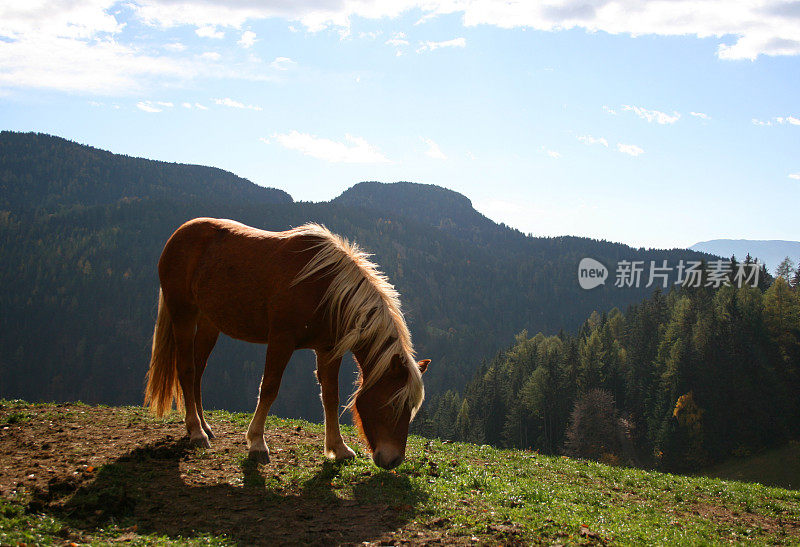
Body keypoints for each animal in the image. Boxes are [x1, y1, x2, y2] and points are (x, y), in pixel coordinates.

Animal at [144, 218, 432, 470]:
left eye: (411, 408)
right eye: (394, 405)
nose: (394, 461)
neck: (325, 288)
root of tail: (180, 233)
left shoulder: (328, 350)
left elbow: (331, 397)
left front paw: (338, 448)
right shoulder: (281, 340)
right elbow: (270, 388)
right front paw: (257, 443)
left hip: (209, 322)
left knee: (198, 371)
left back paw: (204, 426)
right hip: (183, 313)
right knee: (186, 369)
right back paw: (196, 432)